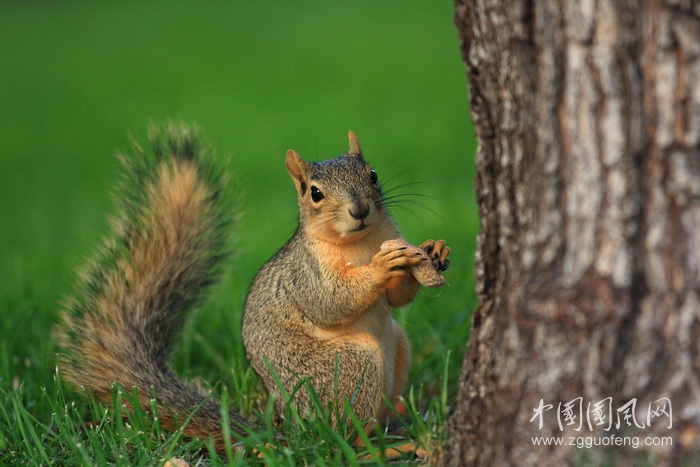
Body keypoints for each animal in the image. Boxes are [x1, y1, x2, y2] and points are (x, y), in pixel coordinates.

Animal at [53, 124, 448, 458]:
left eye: (373, 175)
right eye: (315, 193)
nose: (361, 209)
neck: (361, 242)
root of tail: (294, 434)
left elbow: (397, 298)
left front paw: (434, 253)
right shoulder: (306, 275)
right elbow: (329, 303)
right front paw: (382, 266)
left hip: (398, 348)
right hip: (349, 367)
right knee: (342, 439)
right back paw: (378, 448)